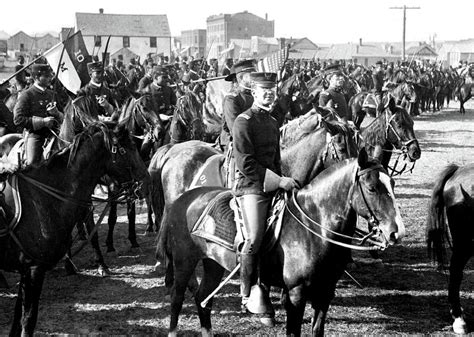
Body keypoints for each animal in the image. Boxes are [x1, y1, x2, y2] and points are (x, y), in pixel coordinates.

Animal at [0, 121, 148, 336]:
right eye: (126, 149)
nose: (147, 183)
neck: (42, 197)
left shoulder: (25, 269)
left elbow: (17, 319)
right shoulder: (34, 269)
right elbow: (28, 319)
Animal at [157, 150, 406, 336]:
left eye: (393, 184)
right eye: (372, 188)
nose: (397, 232)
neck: (314, 226)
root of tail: (181, 200)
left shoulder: (325, 292)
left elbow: (317, 330)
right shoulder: (296, 293)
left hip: (213, 264)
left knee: (203, 299)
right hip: (184, 262)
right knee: (177, 299)